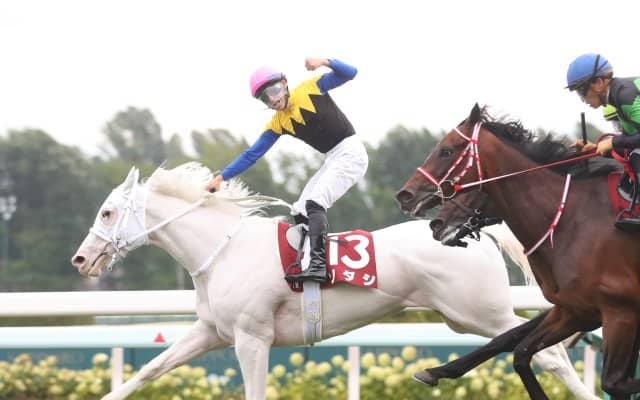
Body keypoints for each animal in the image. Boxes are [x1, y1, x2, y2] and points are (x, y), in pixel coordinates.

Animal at [70, 162, 598, 400]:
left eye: (108, 212)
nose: (81, 259)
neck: (222, 248)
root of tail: (476, 232)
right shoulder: (212, 332)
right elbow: (149, 370)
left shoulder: (252, 338)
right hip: (466, 315)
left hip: (479, 311)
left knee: (549, 353)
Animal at [395, 104, 640, 400]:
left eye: (447, 150)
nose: (405, 195)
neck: (570, 219)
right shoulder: (576, 309)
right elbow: (517, 348)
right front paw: (436, 371)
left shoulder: (619, 311)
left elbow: (614, 382)